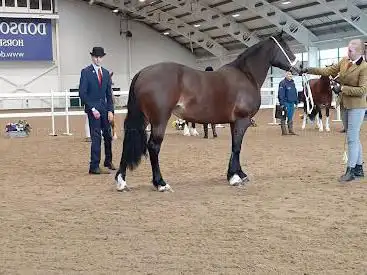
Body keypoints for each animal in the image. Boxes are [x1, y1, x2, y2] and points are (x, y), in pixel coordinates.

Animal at [116, 31, 300, 193]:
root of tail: (142, 73)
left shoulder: (234, 122)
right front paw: (235, 178)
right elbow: (237, 147)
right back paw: (161, 183)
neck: (246, 75)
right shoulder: (242, 120)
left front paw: (238, 174)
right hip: (159, 119)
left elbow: (235, 146)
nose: (299, 67)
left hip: (145, 118)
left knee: (127, 143)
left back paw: (121, 182)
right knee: (153, 147)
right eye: (285, 46)